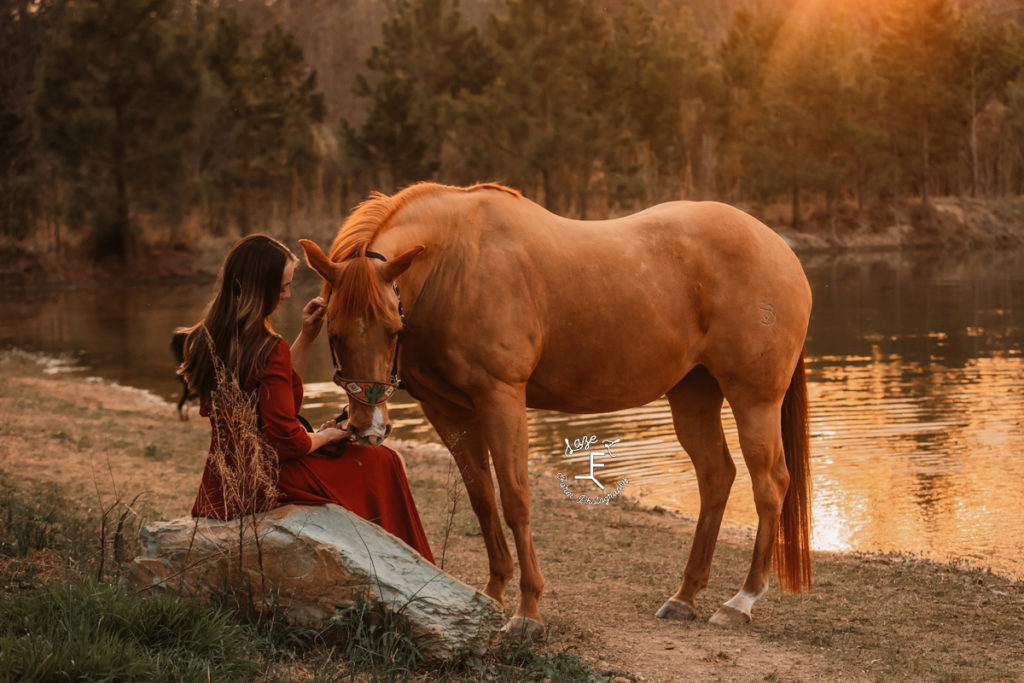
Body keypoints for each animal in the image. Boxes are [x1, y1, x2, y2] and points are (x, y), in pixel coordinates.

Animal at [299, 183, 811, 634]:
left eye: (392, 327)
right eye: (333, 329)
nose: (367, 426)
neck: (457, 263)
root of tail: (780, 250)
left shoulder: (502, 397)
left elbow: (515, 498)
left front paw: (527, 613)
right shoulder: (448, 412)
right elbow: (482, 500)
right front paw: (492, 595)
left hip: (754, 399)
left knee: (769, 485)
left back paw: (740, 601)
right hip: (693, 396)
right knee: (716, 476)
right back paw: (684, 597)